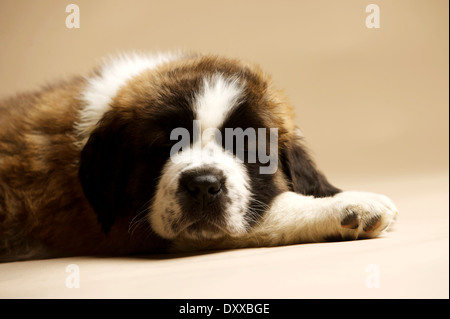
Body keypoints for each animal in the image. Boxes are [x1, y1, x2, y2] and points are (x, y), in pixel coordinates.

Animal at [0, 52, 398, 262]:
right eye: (164, 147)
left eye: (247, 147)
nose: (203, 186)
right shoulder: (132, 229)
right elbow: (271, 212)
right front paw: (350, 206)